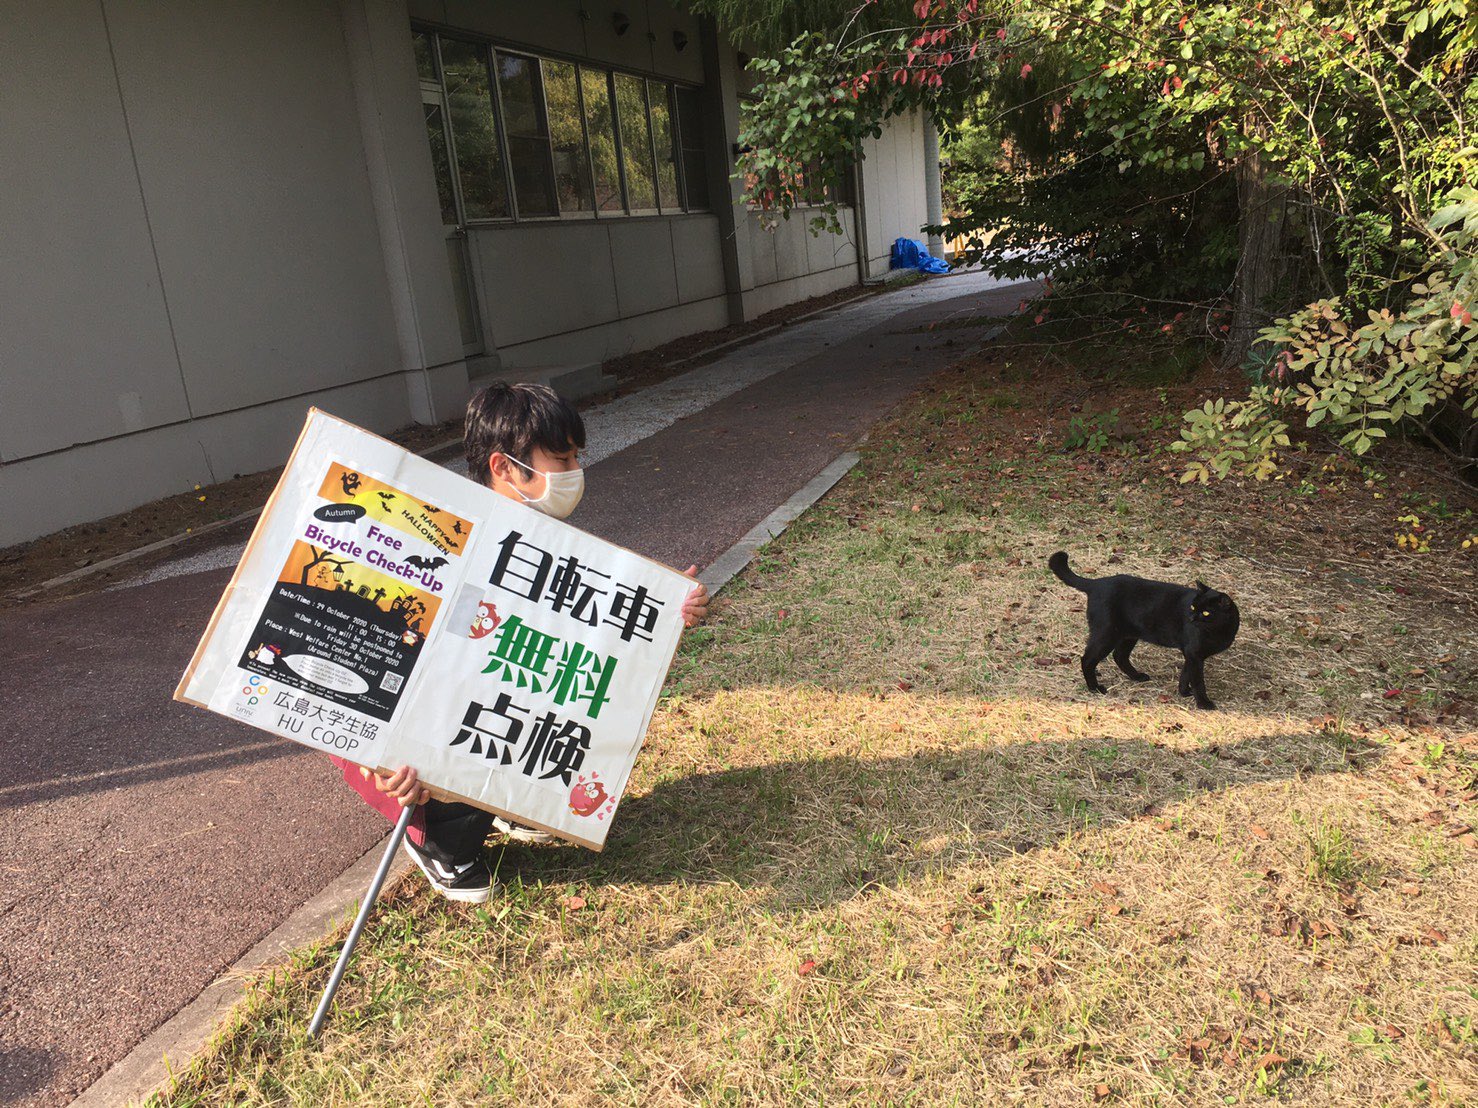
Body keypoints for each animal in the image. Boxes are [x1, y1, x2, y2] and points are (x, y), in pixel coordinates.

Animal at [1046, 552, 1241, 712]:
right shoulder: (1194, 653)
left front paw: (1184, 692)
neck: (1219, 631)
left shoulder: (1191, 654)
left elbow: (1186, 674)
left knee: (1119, 656)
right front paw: (1203, 703)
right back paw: (1095, 688)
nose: (1191, 618)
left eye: (1206, 612)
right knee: (1087, 659)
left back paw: (1137, 676)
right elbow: (1198, 680)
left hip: (1128, 634)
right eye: (1193, 607)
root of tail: (1097, 583)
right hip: (1106, 634)